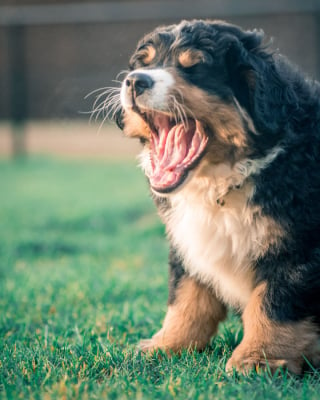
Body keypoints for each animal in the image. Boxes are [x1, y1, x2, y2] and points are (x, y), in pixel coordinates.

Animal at [114, 19, 318, 376]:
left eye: (194, 67)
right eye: (144, 63)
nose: (135, 80)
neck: (222, 183)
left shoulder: (297, 245)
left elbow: (275, 302)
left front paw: (258, 359)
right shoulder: (186, 243)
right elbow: (186, 297)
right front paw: (166, 344)